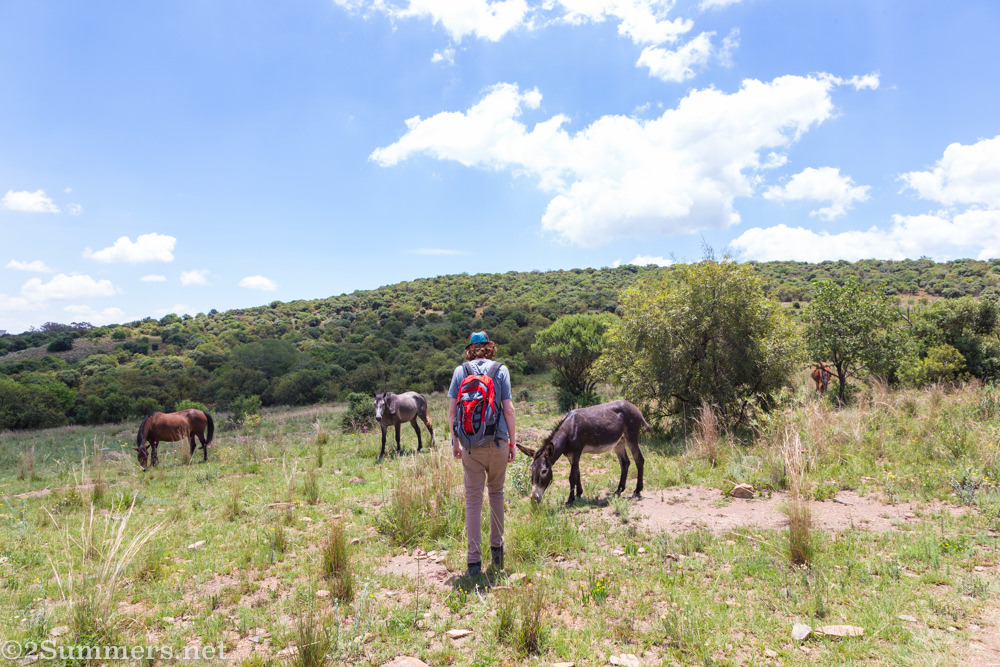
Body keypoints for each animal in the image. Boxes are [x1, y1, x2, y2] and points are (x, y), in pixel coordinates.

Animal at [516, 399, 649, 505]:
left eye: (544, 471)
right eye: (531, 470)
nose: (534, 499)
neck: (569, 430)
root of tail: (635, 407)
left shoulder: (576, 453)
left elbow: (572, 476)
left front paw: (570, 499)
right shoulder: (570, 455)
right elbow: (578, 473)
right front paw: (579, 493)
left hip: (631, 437)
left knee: (639, 460)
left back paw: (637, 490)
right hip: (619, 442)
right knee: (625, 463)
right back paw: (619, 490)